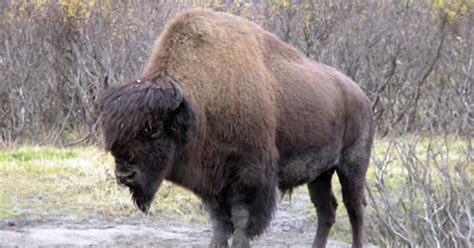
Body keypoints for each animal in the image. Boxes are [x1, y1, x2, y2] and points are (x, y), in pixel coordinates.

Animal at [97, 8, 374, 248]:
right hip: (320, 173)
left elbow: (241, 221)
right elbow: (220, 222)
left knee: (354, 208)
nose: (124, 175)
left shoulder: (249, 177)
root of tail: (361, 96)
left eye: (153, 128)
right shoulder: (211, 182)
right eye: (112, 132)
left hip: (352, 165)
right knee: (326, 209)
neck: (197, 104)